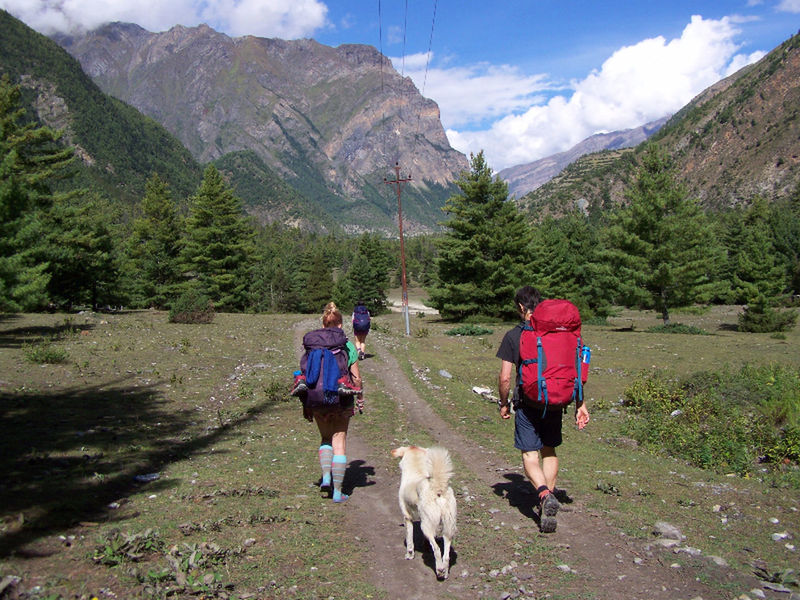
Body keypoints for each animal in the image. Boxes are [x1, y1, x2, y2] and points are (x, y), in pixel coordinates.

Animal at [392, 446, 460, 580]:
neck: (416, 469)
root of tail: (438, 489)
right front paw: (425, 546)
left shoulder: (407, 517)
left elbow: (409, 540)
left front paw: (409, 555)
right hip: (448, 527)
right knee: (446, 554)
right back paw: (445, 572)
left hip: (426, 526)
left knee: (437, 550)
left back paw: (439, 570)